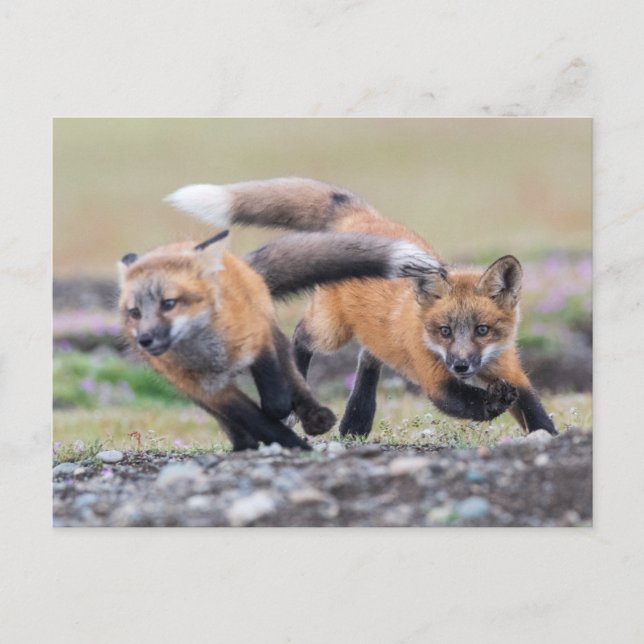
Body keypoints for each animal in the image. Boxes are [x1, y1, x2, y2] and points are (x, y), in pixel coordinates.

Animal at [118, 226, 443, 451]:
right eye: (134, 312)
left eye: (169, 304)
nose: (145, 339)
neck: (210, 352)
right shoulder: (208, 389)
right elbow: (250, 417)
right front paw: (283, 441)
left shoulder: (259, 340)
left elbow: (275, 396)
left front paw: (288, 419)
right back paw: (245, 443)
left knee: (296, 366)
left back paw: (314, 415)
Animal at [166, 177, 558, 437]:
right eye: (444, 331)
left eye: (482, 330)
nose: (461, 365)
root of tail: (362, 218)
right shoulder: (435, 378)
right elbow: (467, 403)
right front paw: (492, 404)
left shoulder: (510, 369)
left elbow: (534, 410)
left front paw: (549, 438)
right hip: (330, 331)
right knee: (301, 337)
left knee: (369, 359)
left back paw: (356, 421)